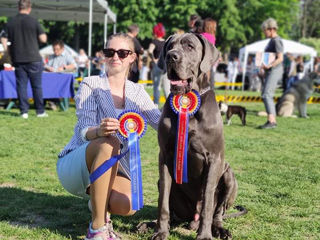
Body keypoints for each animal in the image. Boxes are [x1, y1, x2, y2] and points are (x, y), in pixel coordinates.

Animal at [152, 33, 242, 240]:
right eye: (170, 46)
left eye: (190, 46)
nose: (171, 56)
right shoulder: (165, 156)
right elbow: (163, 202)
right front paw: (161, 231)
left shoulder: (214, 159)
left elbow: (208, 202)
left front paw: (205, 235)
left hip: (228, 175)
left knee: (218, 213)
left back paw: (219, 229)